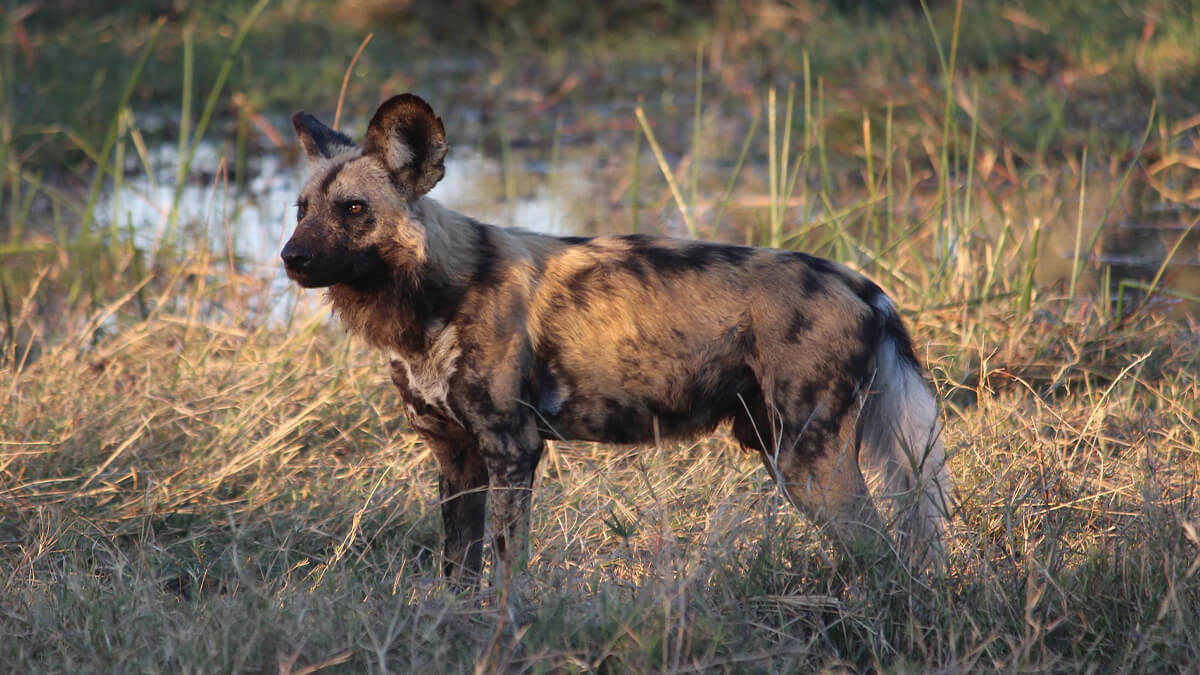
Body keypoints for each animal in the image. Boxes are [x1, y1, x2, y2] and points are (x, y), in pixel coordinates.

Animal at [280, 94, 955, 588]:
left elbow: (505, 569)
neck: (431, 298)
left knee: (884, 553)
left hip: (808, 462)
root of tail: (863, 285)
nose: (291, 257)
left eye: (355, 208)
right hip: (783, 451)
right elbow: (458, 573)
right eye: (300, 209)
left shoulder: (512, 450)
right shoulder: (455, 456)